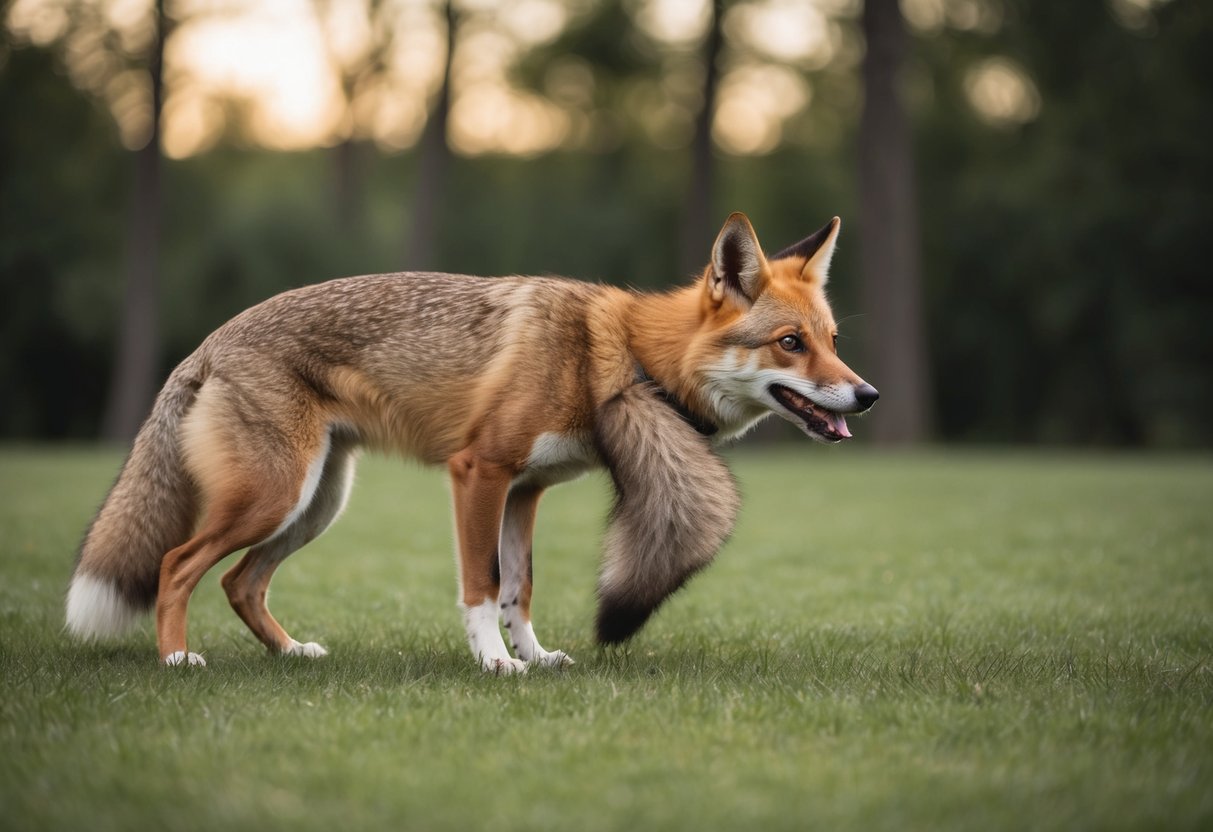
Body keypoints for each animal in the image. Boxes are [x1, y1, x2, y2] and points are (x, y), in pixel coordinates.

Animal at [66, 212, 878, 673]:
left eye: (834, 342)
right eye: (789, 343)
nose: (867, 396)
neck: (613, 352)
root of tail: (207, 343)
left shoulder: (526, 490)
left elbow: (521, 589)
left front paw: (536, 658)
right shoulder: (478, 472)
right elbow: (481, 588)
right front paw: (495, 667)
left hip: (315, 504)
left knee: (240, 583)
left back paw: (292, 655)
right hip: (272, 498)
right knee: (176, 565)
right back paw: (178, 659)